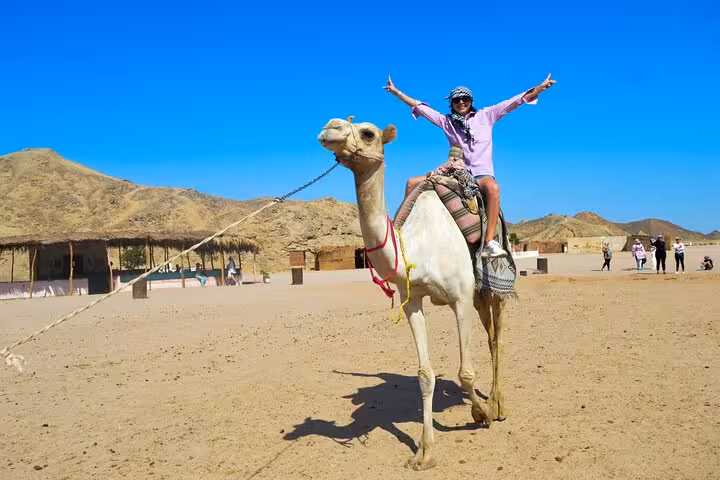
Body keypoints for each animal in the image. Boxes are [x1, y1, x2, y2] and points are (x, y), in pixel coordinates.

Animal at [318, 118, 507, 470]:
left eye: (368, 133)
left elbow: (465, 372)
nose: (329, 128)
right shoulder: (414, 302)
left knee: (496, 338)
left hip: (493, 288)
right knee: (490, 335)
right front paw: (425, 453)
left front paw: (482, 413)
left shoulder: (460, 299)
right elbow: (424, 375)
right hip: (477, 297)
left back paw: (500, 404)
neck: (420, 246)